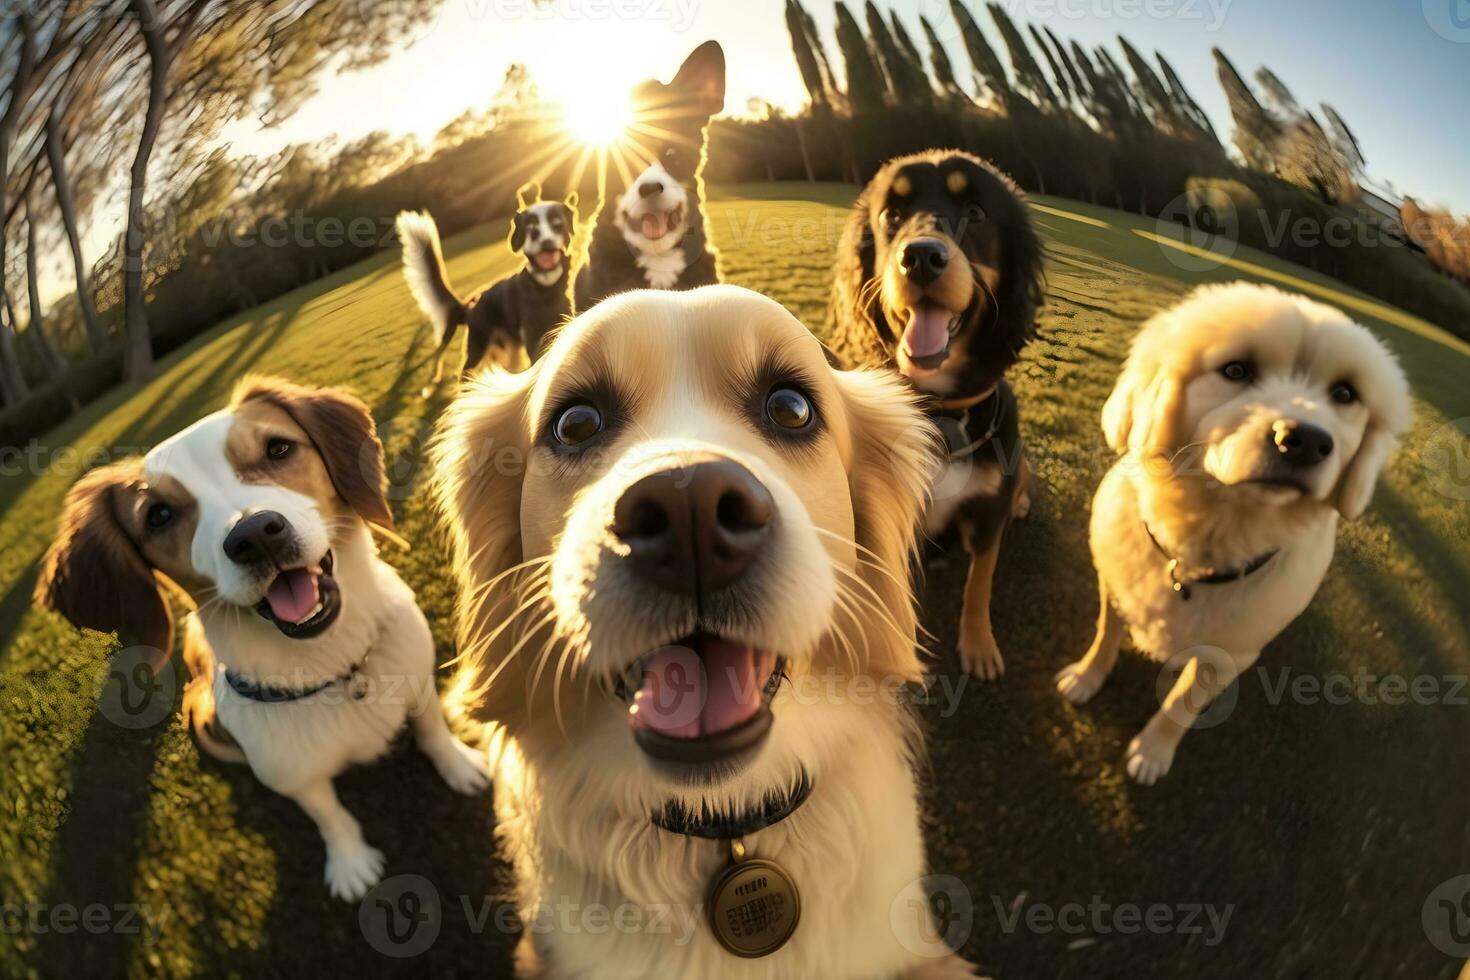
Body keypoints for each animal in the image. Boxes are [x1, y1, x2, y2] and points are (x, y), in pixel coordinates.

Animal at [34, 379, 488, 899]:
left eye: (277, 449)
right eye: (159, 515)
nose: (255, 534)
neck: (335, 665)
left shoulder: (417, 677)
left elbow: (432, 730)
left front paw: (459, 765)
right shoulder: (292, 776)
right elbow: (329, 815)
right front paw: (350, 862)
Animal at [396, 183, 579, 387]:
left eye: (557, 224)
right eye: (531, 228)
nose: (545, 241)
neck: (545, 288)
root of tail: (471, 308)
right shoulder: (533, 338)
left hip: (507, 352)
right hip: (478, 347)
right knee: (464, 376)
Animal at [1058, 282, 1411, 781]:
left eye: (1345, 393)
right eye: (1236, 370)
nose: (1305, 441)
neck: (1201, 547)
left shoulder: (1226, 657)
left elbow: (1179, 707)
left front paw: (1153, 752)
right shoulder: (1115, 588)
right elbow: (1104, 635)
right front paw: (1086, 677)